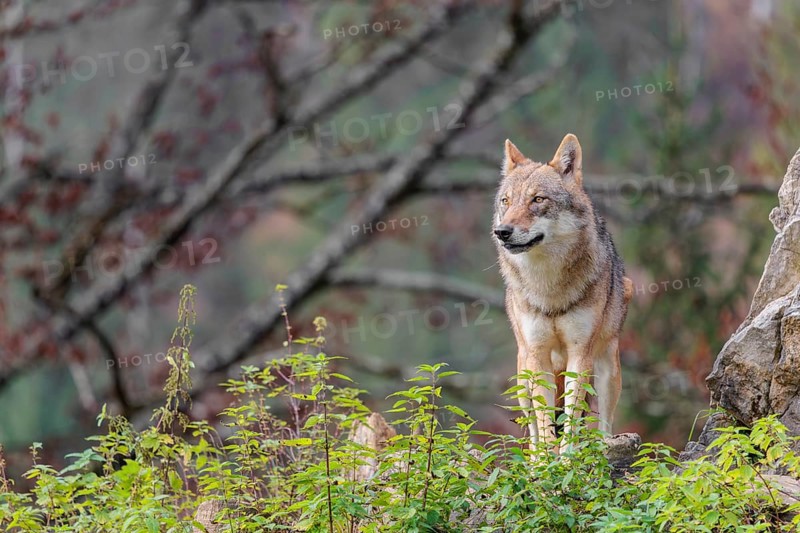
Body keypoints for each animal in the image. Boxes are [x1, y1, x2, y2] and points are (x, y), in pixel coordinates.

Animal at [493, 133, 632, 449]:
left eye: (538, 199)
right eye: (506, 201)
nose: (502, 231)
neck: (548, 287)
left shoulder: (580, 354)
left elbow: (570, 417)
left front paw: (567, 456)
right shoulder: (538, 357)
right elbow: (544, 422)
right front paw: (548, 456)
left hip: (607, 368)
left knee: (603, 419)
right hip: (522, 375)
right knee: (531, 426)